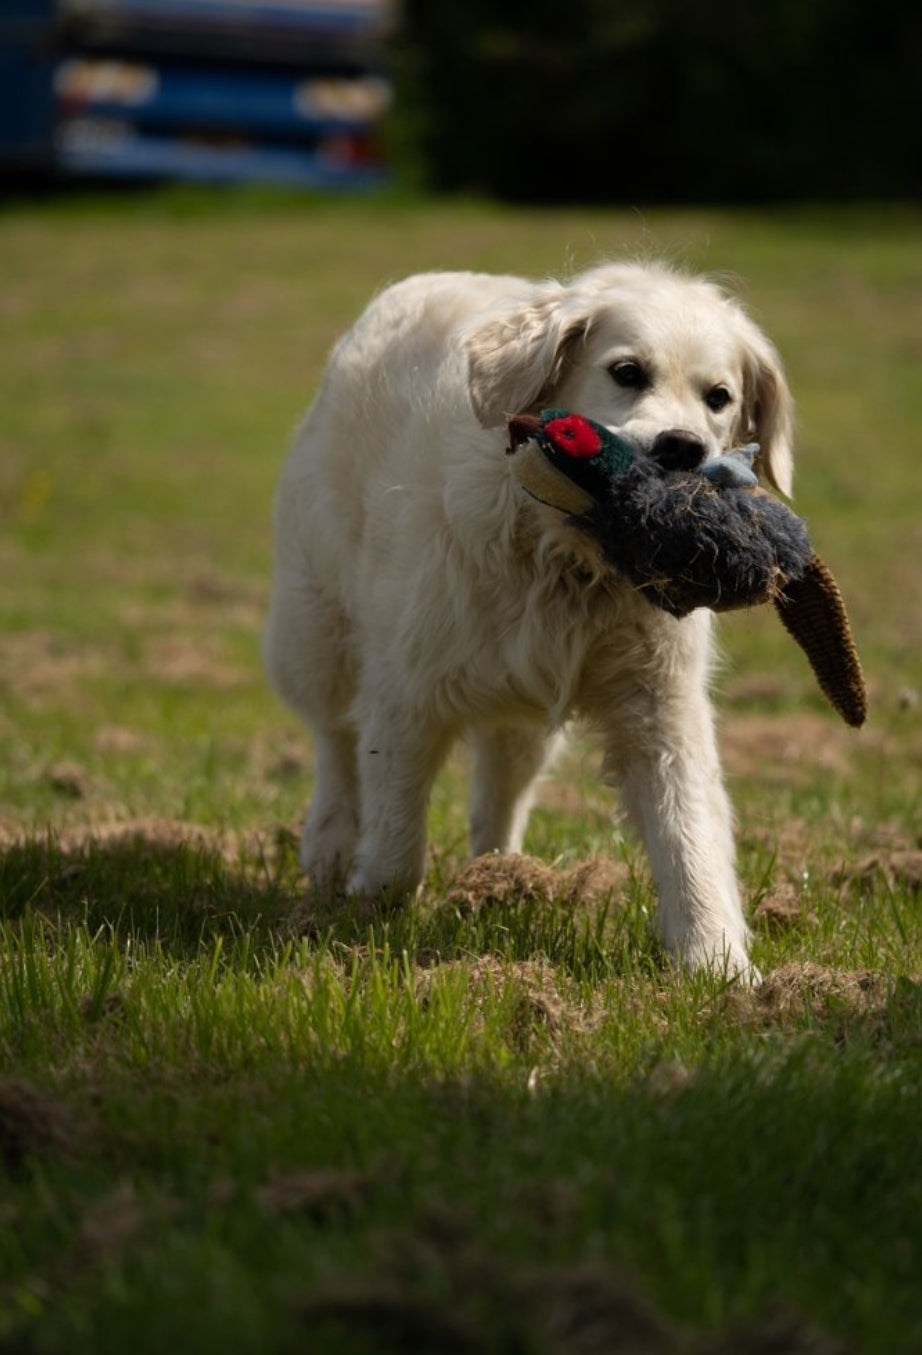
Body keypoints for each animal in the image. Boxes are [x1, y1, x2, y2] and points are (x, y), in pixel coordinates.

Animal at [264, 261, 791, 975]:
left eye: (719, 397)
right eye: (627, 372)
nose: (683, 447)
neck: (563, 554)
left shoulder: (661, 704)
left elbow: (691, 833)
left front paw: (719, 965)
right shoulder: (406, 689)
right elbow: (397, 831)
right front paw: (369, 907)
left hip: (524, 718)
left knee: (501, 792)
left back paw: (499, 880)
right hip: (314, 627)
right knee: (335, 739)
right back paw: (330, 846)